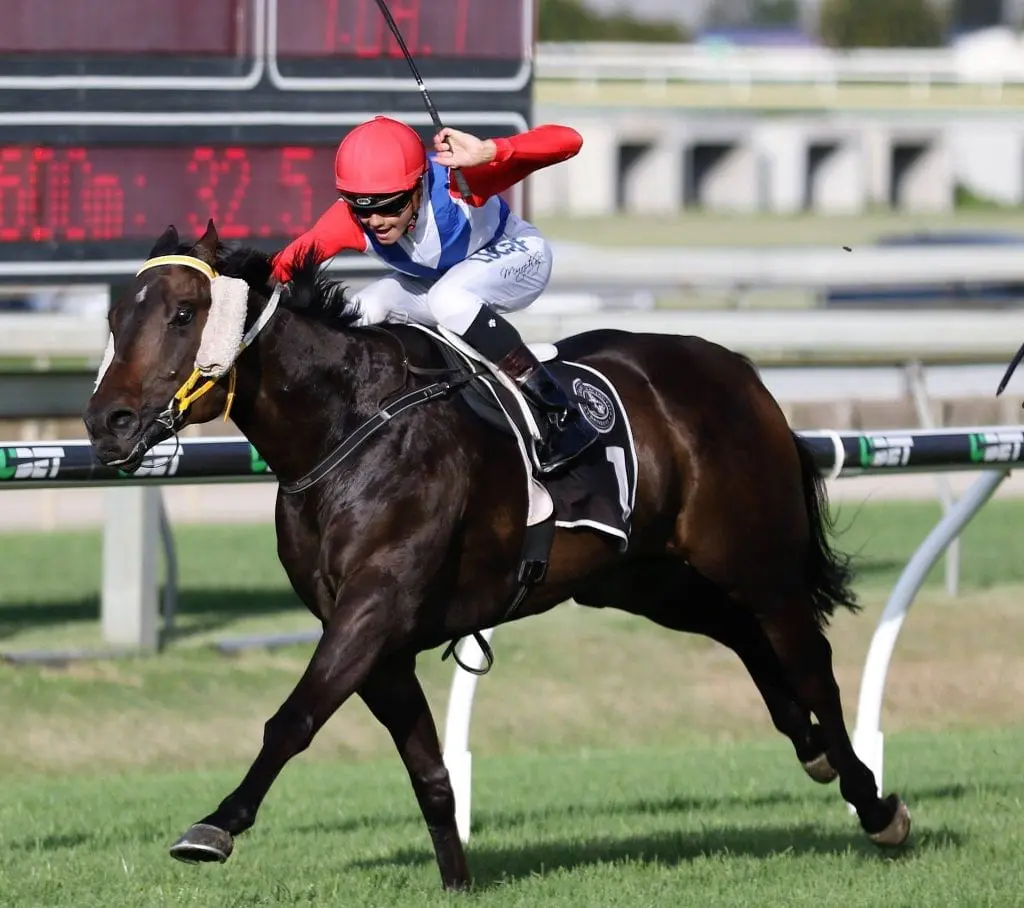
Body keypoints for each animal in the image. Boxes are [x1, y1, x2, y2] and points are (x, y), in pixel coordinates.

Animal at [81, 224, 913, 892]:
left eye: (182, 314)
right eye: (116, 317)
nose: (105, 422)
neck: (347, 427)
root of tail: (741, 370)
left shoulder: (373, 607)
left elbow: (294, 719)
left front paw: (216, 825)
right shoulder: (379, 641)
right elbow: (429, 771)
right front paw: (458, 882)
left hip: (756, 562)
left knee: (810, 663)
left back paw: (875, 804)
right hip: (647, 580)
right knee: (743, 638)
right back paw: (811, 749)